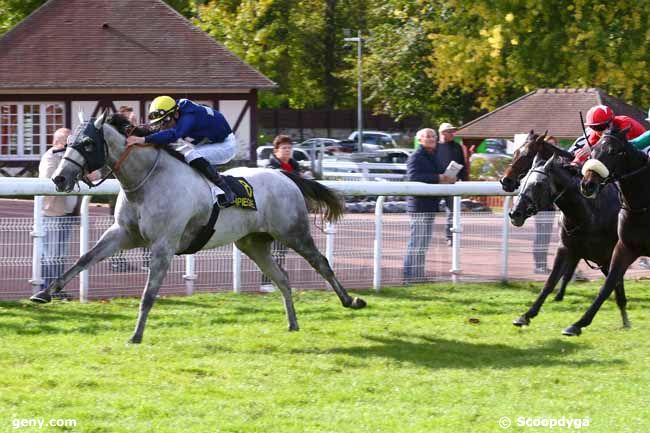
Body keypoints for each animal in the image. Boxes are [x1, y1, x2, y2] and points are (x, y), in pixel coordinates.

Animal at [30, 113, 364, 342]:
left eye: (88, 144)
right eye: (67, 143)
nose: (59, 178)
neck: (148, 181)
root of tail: (284, 175)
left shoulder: (164, 245)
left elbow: (149, 293)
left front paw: (136, 334)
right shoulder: (122, 234)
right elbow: (84, 259)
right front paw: (44, 293)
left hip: (294, 232)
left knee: (321, 263)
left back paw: (351, 300)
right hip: (253, 243)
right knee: (281, 277)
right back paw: (293, 322)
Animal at [508, 155, 624, 328]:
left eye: (538, 184)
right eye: (522, 182)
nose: (515, 213)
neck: (590, 214)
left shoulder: (611, 255)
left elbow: (611, 285)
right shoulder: (567, 249)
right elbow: (551, 282)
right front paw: (526, 315)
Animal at [572, 124, 648, 334]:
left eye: (613, 151)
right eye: (592, 151)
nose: (587, 185)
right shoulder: (625, 247)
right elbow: (608, 284)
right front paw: (577, 324)